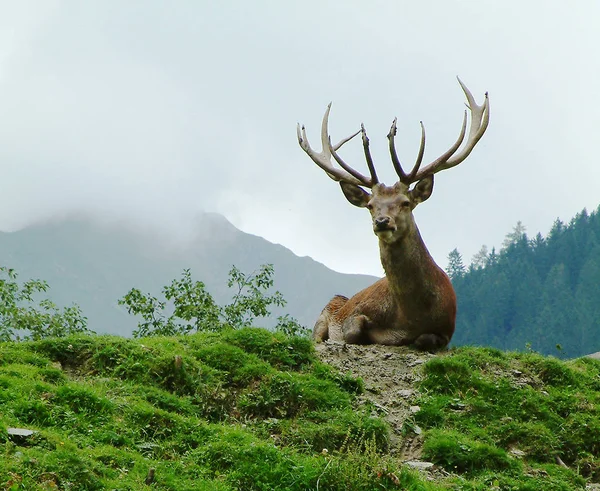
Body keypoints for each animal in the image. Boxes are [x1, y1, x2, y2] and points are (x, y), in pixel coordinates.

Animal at [296, 79, 488, 352]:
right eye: (370, 205)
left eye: (405, 203)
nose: (382, 221)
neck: (411, 317)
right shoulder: (353, 314)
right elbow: (352, 331)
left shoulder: (447, 329)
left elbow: (425, 339)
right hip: (326, 310)